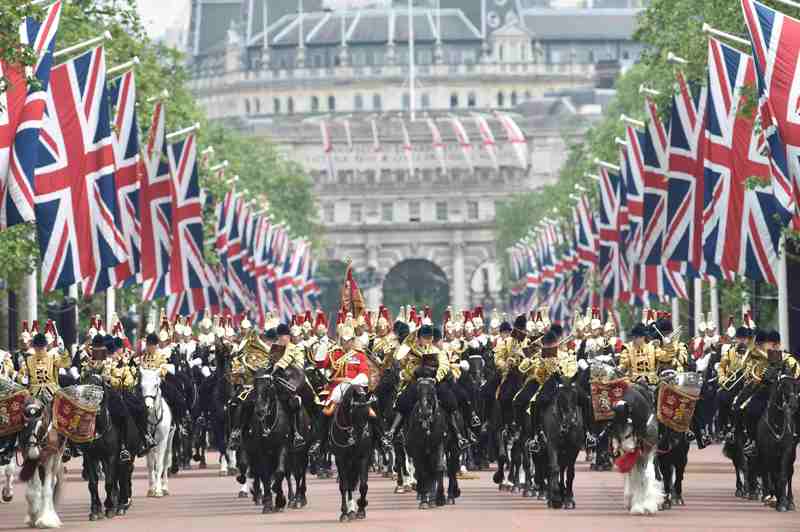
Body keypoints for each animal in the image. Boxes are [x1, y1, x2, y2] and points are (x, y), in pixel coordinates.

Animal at [140, 368, 176, 496]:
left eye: (156, 385)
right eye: (141, 386)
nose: (148, 406)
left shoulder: (162, 441)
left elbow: (160, 464)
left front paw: (159, 489)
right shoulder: (148, 442)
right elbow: (151, 465)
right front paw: (152, 488)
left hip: (170, 439)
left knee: (166, 460)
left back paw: (164, 487)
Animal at [328, 384, 376, 520]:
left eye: (367, 413)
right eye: (353, 412)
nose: (360, 437)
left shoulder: (363, 457)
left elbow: (363, 485)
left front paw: (361, 508)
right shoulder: (341, 458)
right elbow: (344, 485)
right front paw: (344, 513)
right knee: (348, 483)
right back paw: (349, 510)